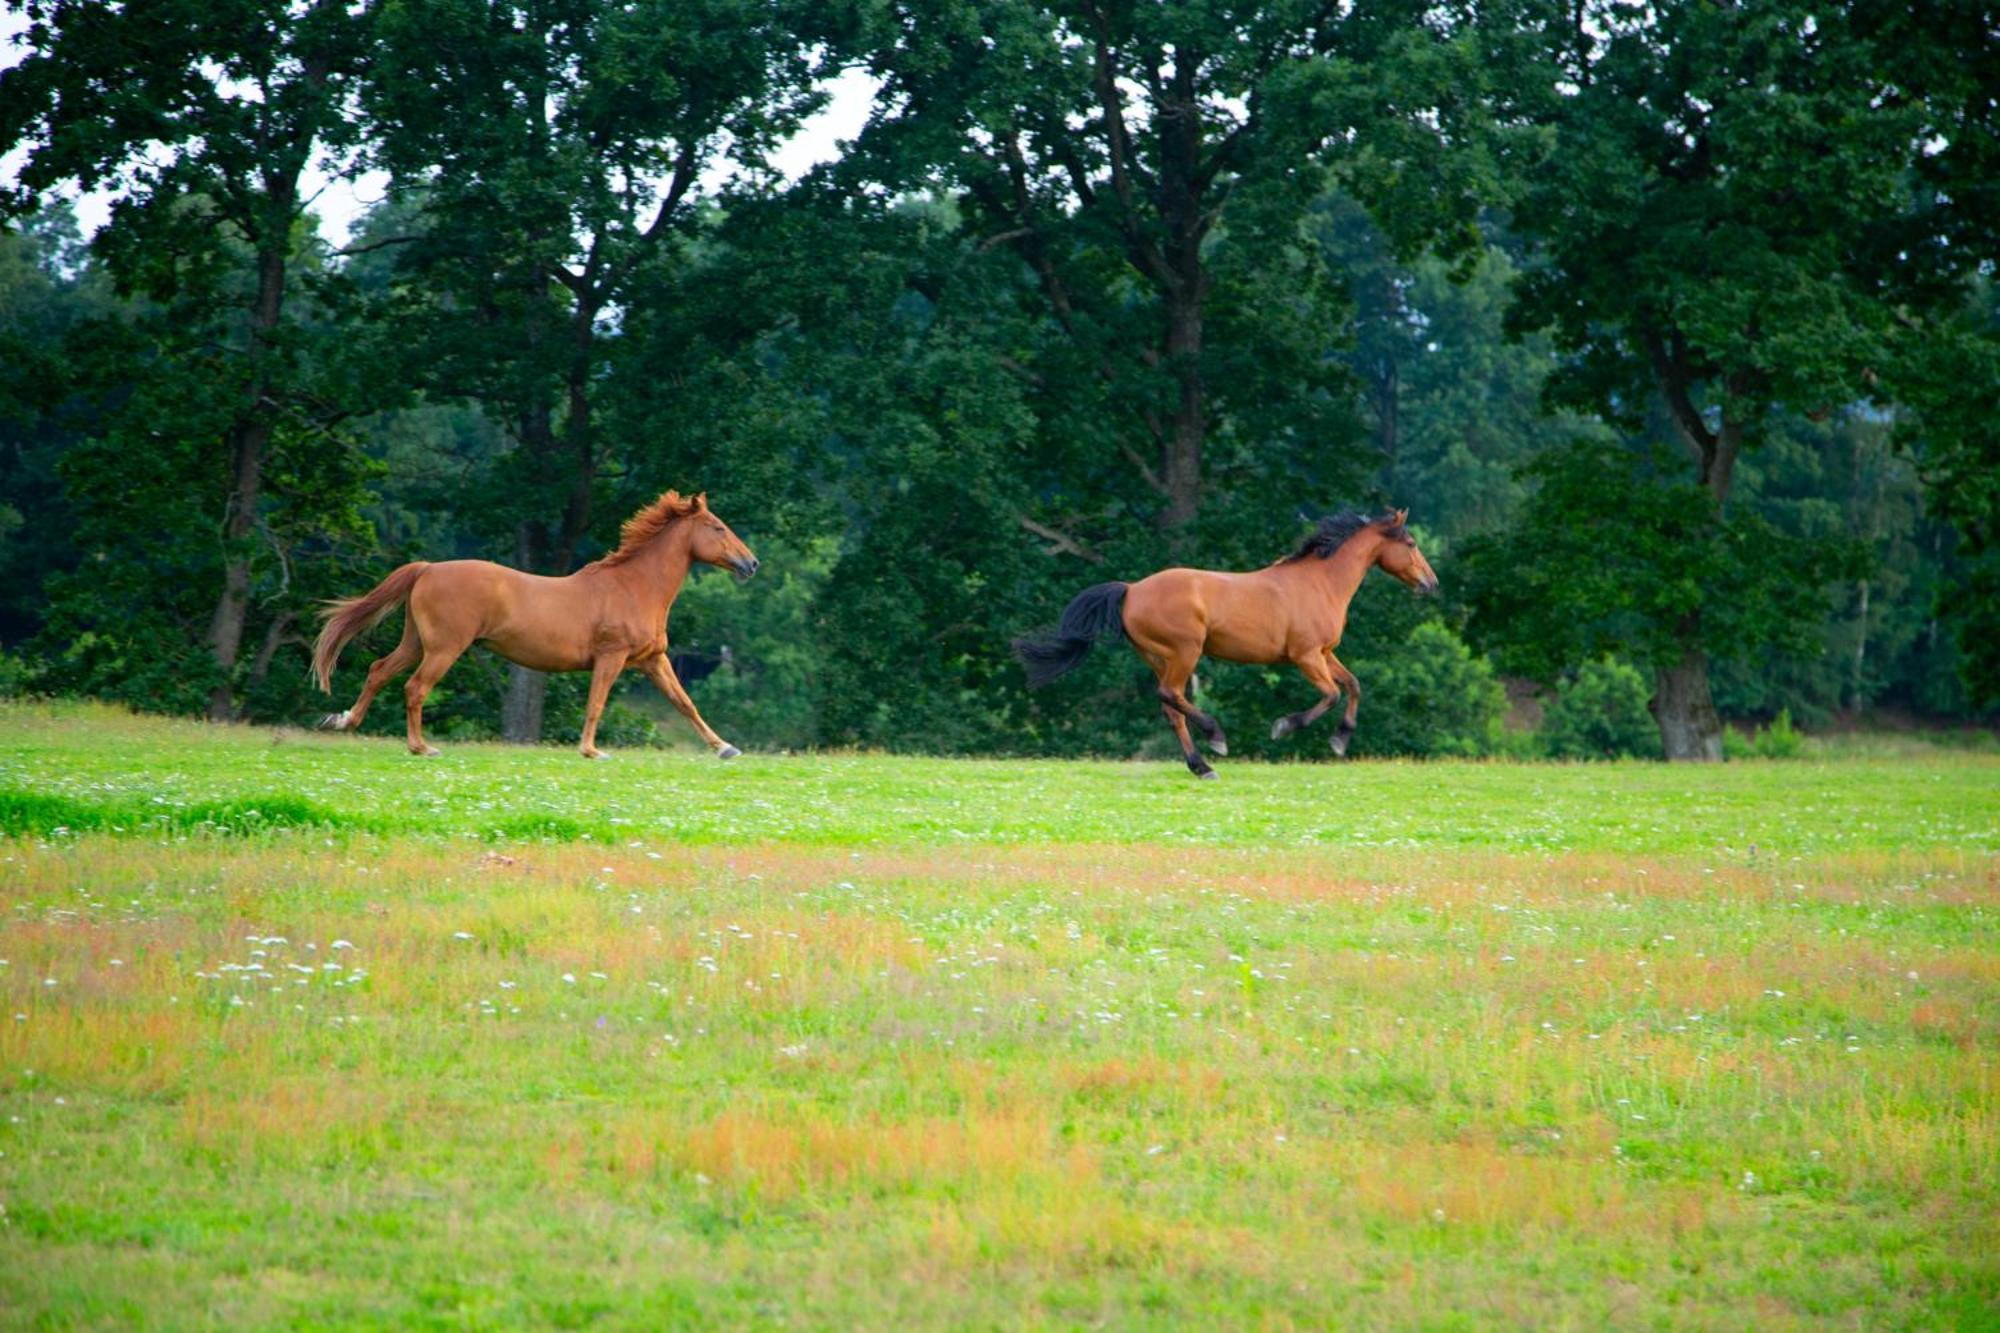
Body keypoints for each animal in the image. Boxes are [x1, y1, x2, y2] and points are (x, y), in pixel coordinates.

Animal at [312, 488, 756, 756]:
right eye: (718, 527)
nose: (751, 563)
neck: (635, 587)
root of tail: (428, 568)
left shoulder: (652, 660)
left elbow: (686, 704)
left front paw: (725, 747)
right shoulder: (611, 657)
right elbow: (596, 703)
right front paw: (591, 751)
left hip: (416, 642)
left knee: (379, 671)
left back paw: (343, 720)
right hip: (444, 647)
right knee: (415, 688)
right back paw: (421, 747)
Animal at [1016, 508, 1440, 780]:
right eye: (1411, 542)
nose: (1431, 583)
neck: (1321, 583)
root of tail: (1132, 589)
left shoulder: (1324, 653)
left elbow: (1353, 685)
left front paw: (1340, 740)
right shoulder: (1305, 656)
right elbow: (1331, 694)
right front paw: (1284, 727)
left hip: (1158, 657)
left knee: (1170, 707)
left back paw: (1201, 766)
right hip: (1185, 652)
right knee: (1172, 695)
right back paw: (1215, 738)